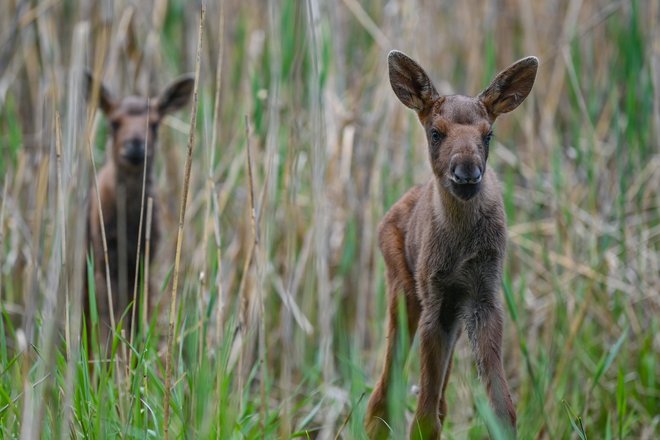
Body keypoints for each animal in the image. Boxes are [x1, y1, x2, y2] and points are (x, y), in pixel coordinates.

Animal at [82, 73, 191, 354]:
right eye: (114, 122)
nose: (134, 146)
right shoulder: (104, 260)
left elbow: (138, 316)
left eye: (154, 124)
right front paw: (110, 360)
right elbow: (108, 320)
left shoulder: (145, 260)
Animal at [364, 49, 540, 438]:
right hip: (404, 289)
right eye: (435, 132)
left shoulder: (484, 296)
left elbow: (502, 408)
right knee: (382, 393)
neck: (461, 245)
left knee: (436, 401)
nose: (467, 172)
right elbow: (423, 419)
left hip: (454, 312)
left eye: (488, 135)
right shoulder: (434, 297)